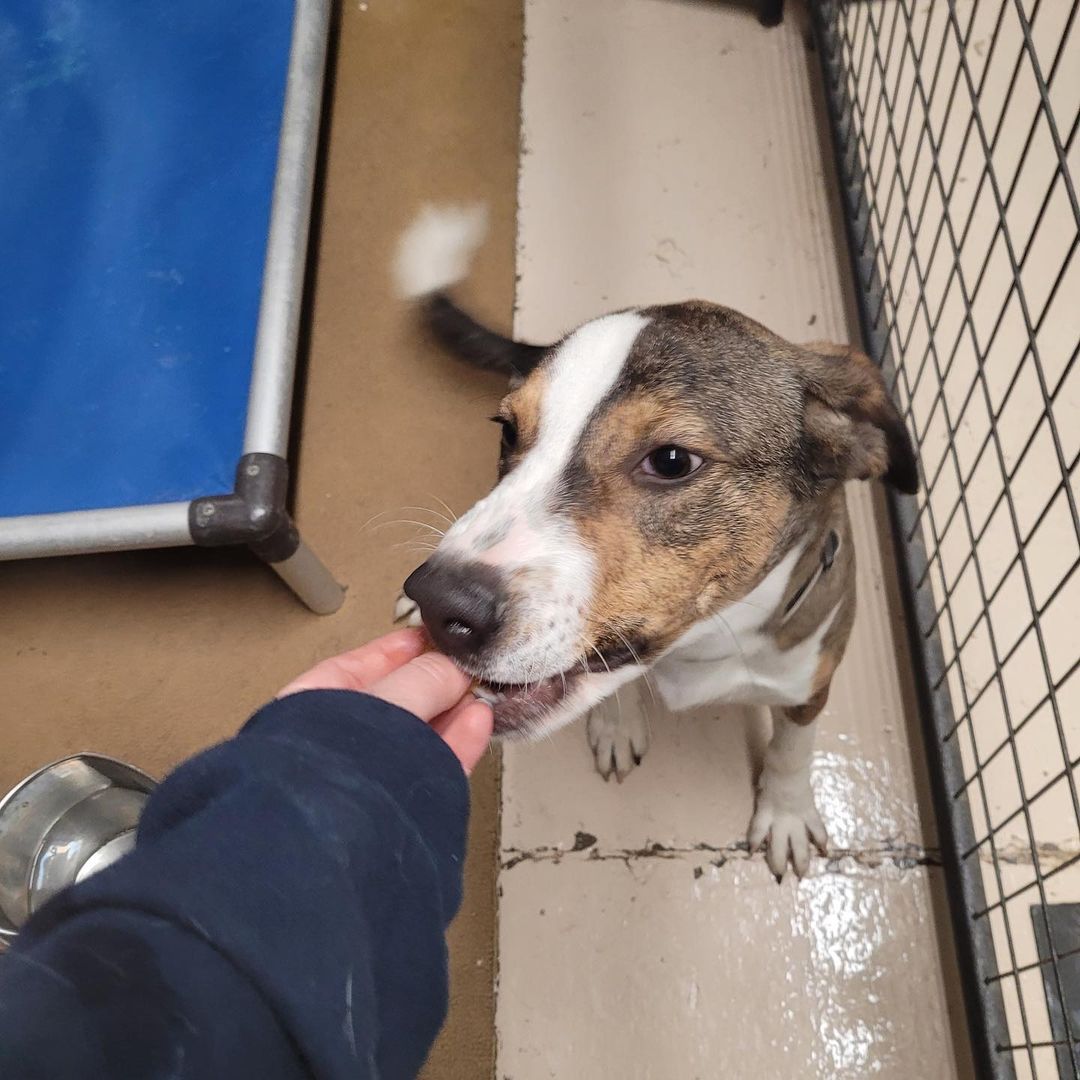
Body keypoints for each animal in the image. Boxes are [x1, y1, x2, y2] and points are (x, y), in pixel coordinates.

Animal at [393, 206, 915, 881]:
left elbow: (792, 747)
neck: (702, 645)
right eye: (507, 431)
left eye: (671, 460)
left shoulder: (810, 677)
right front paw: (617, 724)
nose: (439, 603)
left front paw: (787, 813)